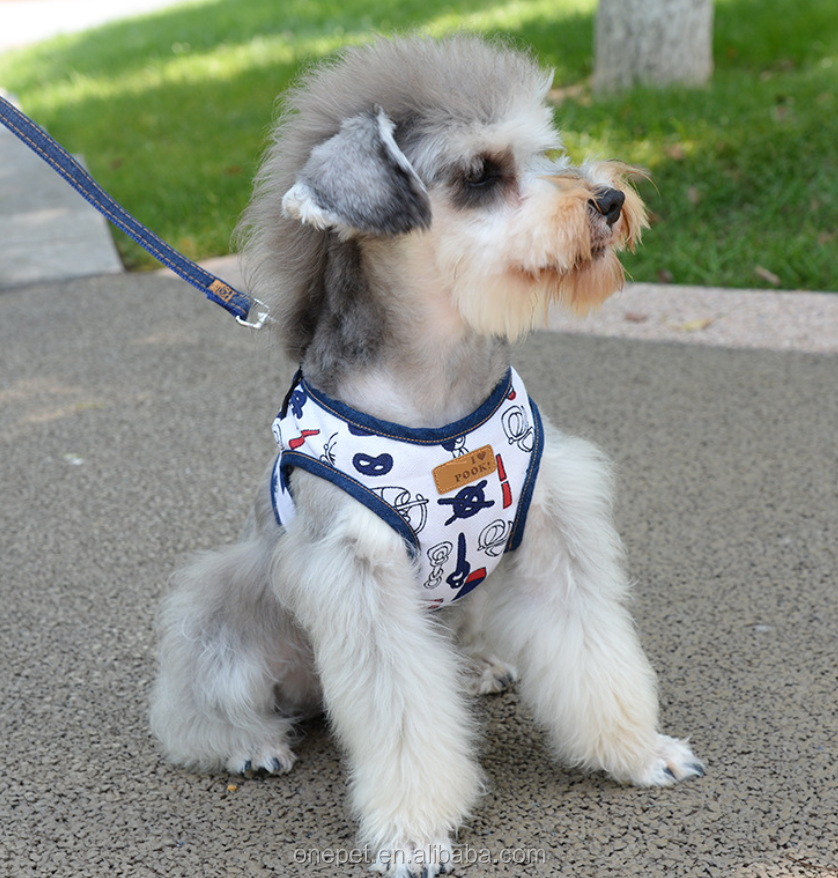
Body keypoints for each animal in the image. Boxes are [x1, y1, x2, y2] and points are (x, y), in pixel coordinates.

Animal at [150, 34, 704, 877]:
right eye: (480, 174)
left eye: (544, 149)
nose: (609, 197)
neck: (436, 387)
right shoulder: (358, 576)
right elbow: (403, 717)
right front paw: (412, 832)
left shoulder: (553, 533)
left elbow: (595, 658)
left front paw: (636, 751)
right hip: (226, 601)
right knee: (193, 708)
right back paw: (248, 742)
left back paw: (477, 669)